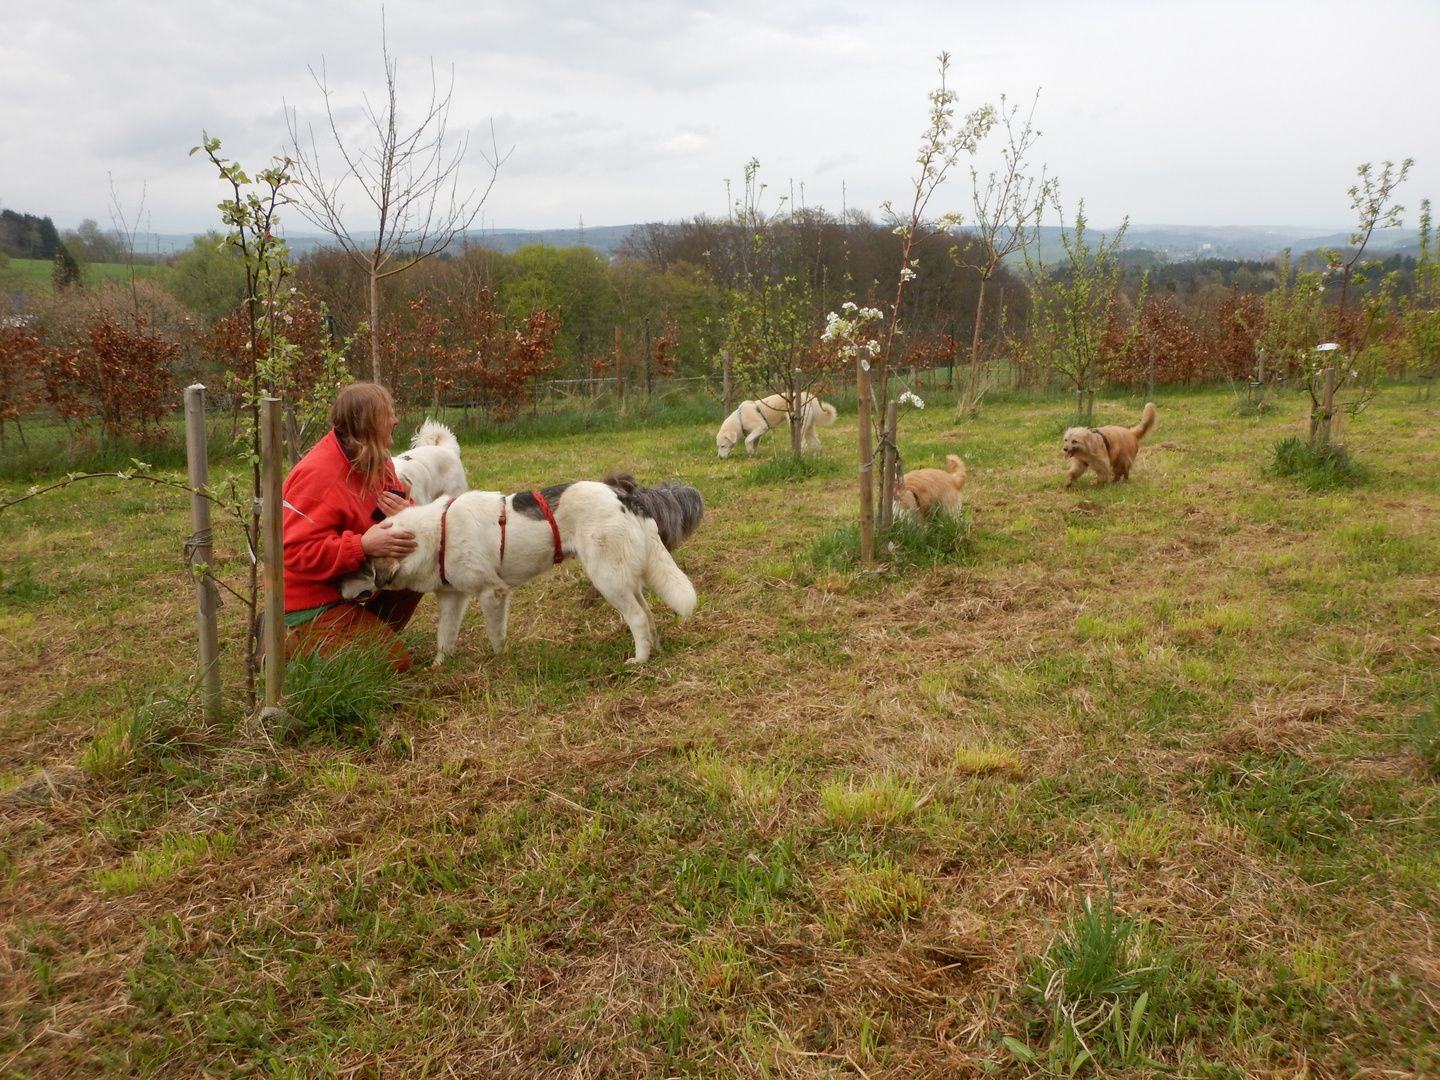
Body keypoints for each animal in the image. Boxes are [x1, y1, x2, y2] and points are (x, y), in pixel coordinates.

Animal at [336, 483, 696, 668]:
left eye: (358, 568)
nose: (335, 587)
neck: (437, 533)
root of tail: (625, 497)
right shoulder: (452, 598)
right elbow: (444, 637)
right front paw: (440, 668)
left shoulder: (492, 594)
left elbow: (495, 636)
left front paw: (500, 664)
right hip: (623, 579)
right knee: (648, 614)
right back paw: (655, 650)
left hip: (607, 579)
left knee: (637, 617)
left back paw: (640, 660)